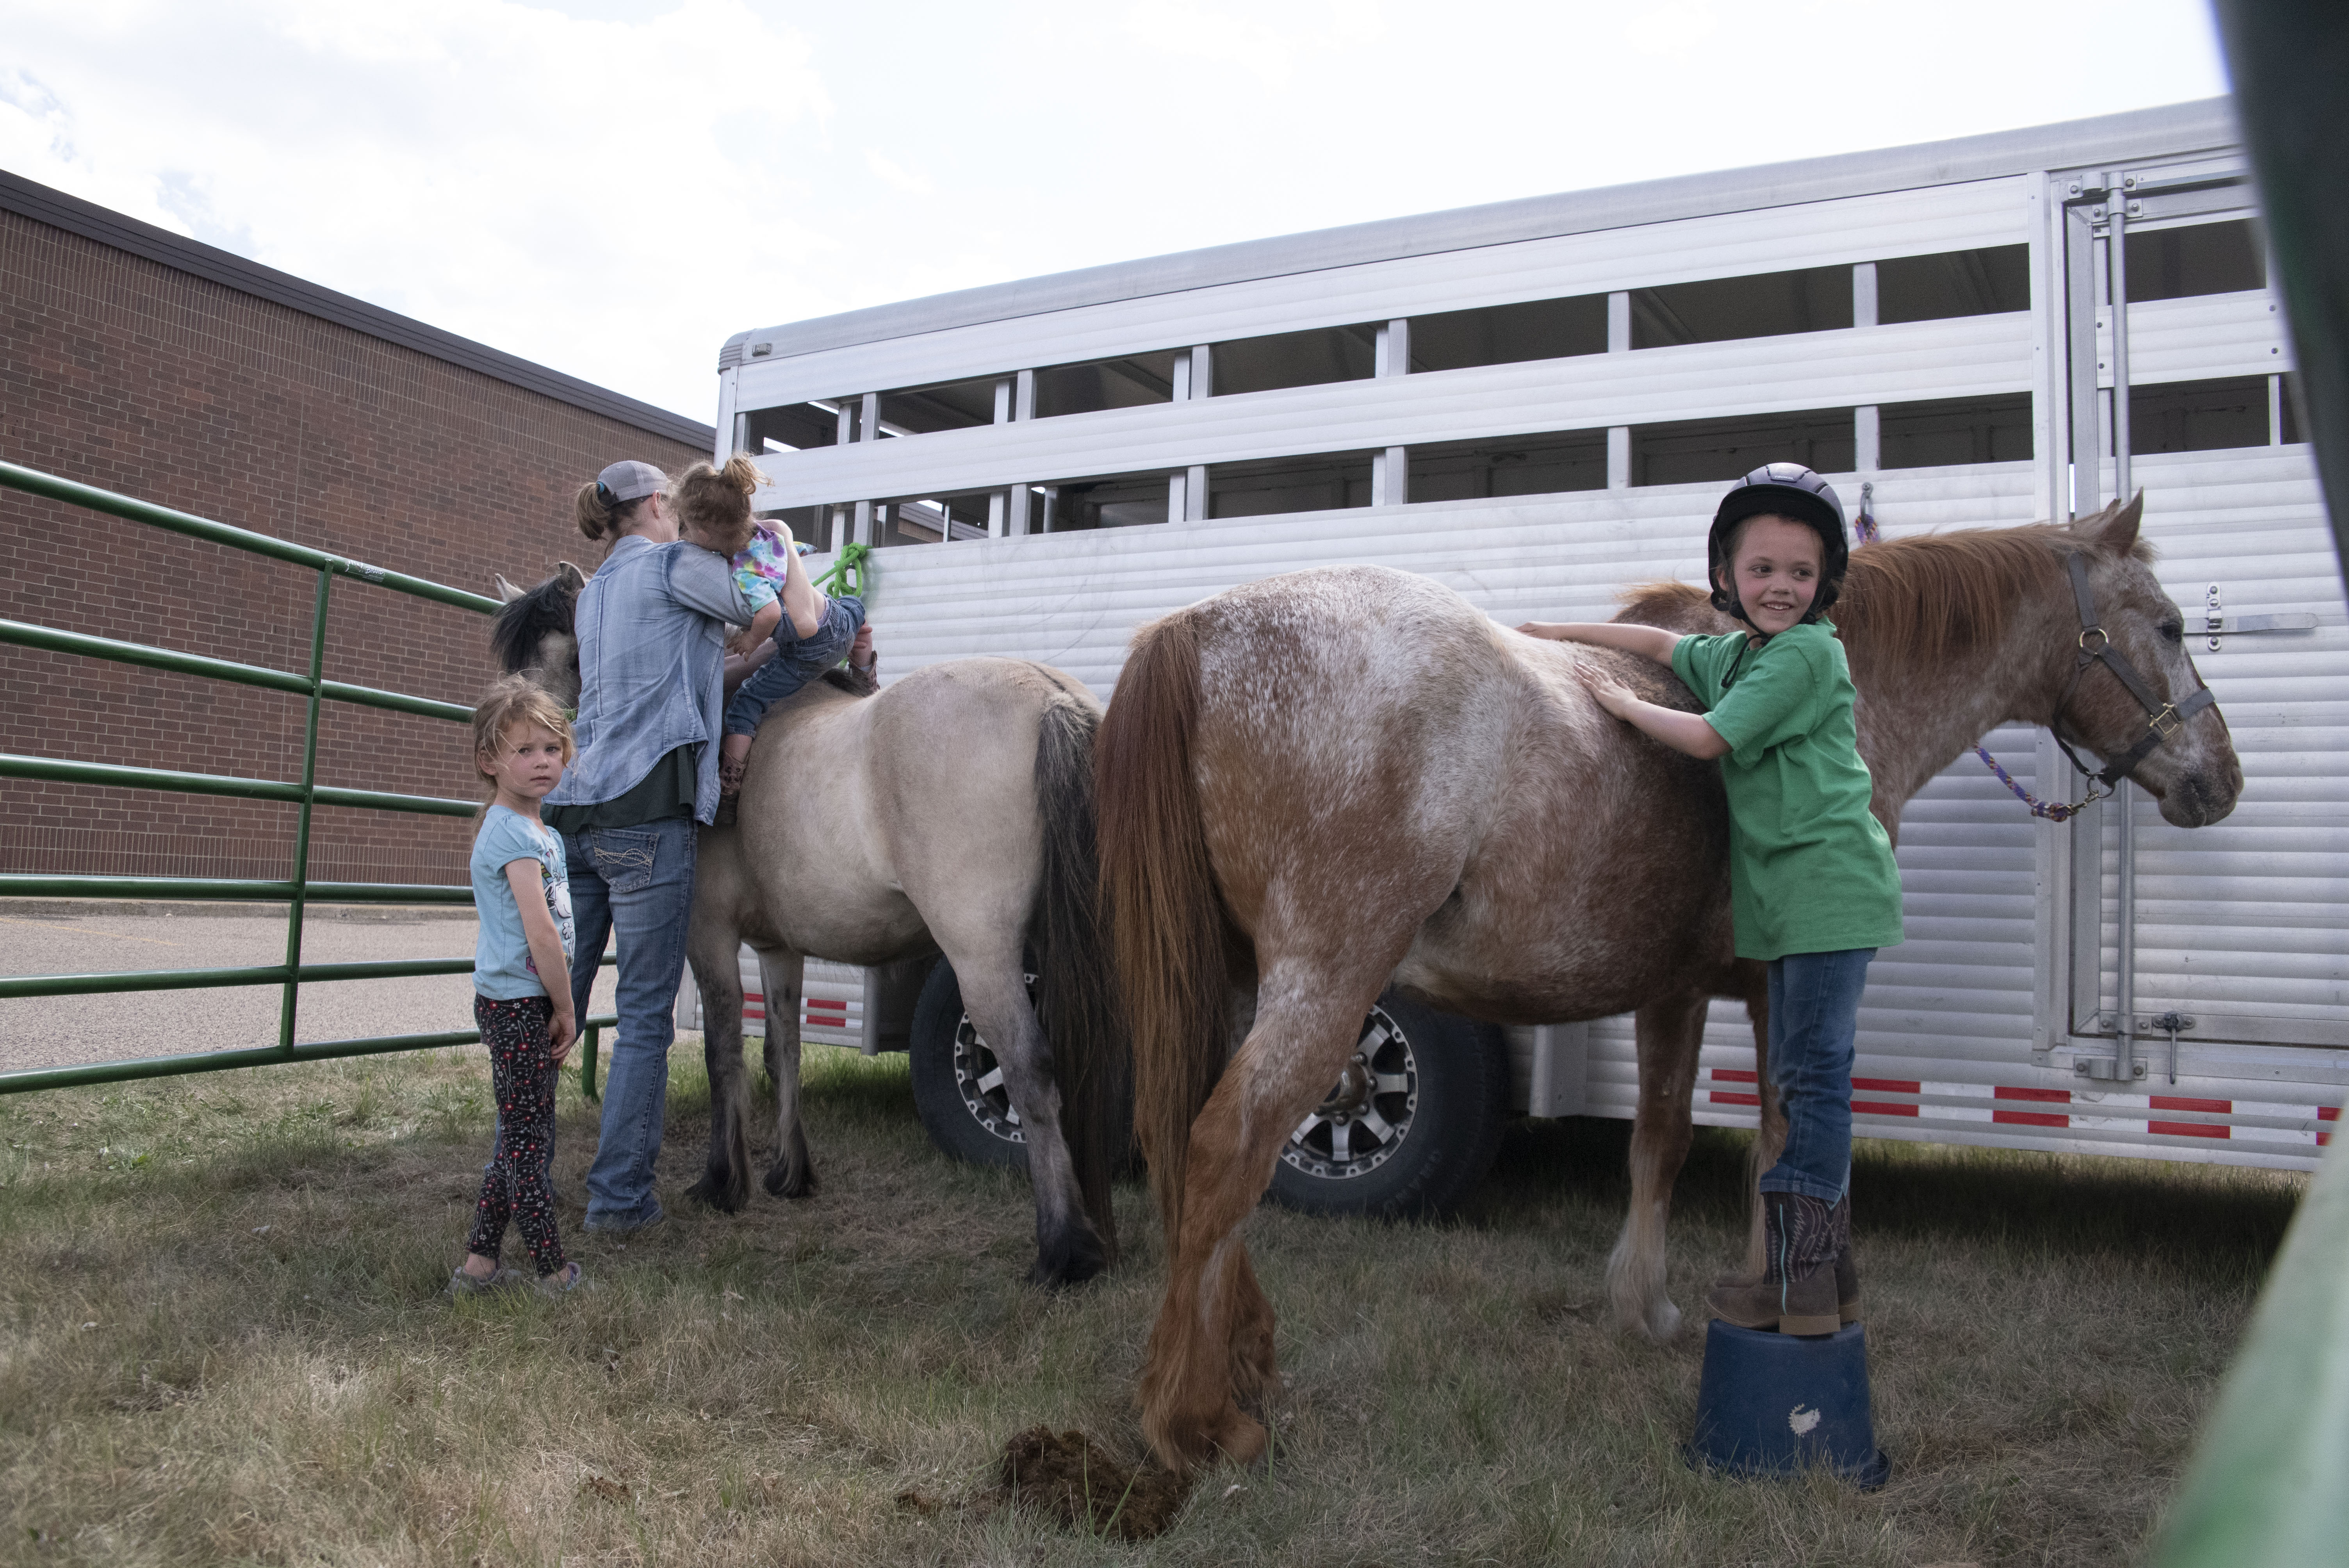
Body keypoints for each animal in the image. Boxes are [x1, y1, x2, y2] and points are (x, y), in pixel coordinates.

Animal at [491, 575, 1132, 1286]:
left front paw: (724, 1182)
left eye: (573, 655)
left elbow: (725, 1054)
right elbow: (784, 1052)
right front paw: (789, 1173)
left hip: (982, 956)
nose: (526, 744)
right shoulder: (778, 950)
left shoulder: (708, 937)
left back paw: (1064, 1249)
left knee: (1026, 1067)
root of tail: (1050, 696)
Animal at [1094, 495, 2236, 1474]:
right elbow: (1781, 1141)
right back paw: (1196, 1420)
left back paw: (1246, 1362)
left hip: (1243, 983)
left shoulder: (1673, 991)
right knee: (1230, 1143)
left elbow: (1663, 1139)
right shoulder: (1786, 987)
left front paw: (1643, 1306)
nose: (2218, 780)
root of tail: (1201, 627)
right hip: (1328, 982)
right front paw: (1783, 1297)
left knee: (1206, 1148)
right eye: (2171, 624)